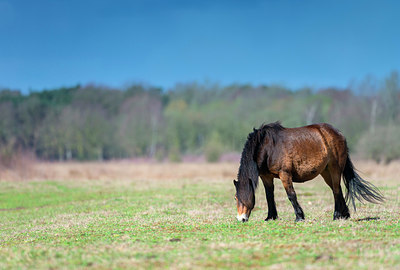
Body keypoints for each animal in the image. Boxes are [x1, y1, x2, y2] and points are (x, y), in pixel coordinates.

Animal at [234, 122, 384, 221]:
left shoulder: (285, 174)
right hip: (326, 172)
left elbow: (291, 195)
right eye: (235, 197)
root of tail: (339, 134)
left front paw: (299, 217)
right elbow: (269, 196)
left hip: (335, 169)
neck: (268, 147)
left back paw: (336, 215)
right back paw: (344, 215)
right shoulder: (266, 176)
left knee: (336, 190)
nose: (241, 219)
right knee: (337, 190)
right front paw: (271, 217)